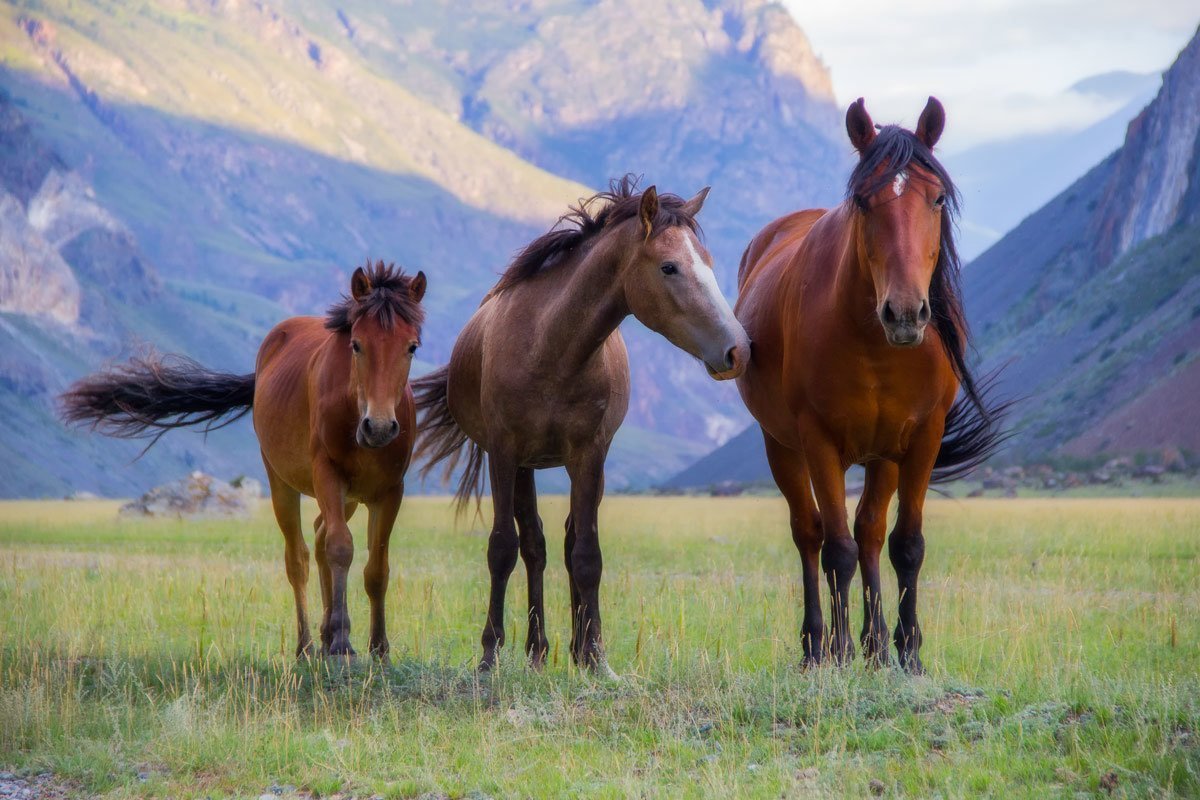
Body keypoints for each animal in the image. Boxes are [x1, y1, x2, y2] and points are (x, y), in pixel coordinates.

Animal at [60, 262, 429, 657]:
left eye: (411, 347)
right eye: (356, 345)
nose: (379, 427)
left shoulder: (389, 492)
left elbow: (377, 568)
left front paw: (379, 648)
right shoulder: (328, 476)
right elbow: (341, 548)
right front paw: (343, 643)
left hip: (348, 498)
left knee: (318, 539)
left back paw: (324, 635)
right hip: (283, 483)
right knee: (299, 557)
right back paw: (307, 645)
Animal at [417, 178, 744, 671]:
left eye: (708, 262)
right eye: (669, 267)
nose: (737, 349)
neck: (550, 346)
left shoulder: (589, 455)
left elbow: (587, 554)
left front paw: (595, 657)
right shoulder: (504, 453)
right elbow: (502, 548)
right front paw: (490, 655)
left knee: (569, 542)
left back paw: (569, 647)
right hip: (524, 467)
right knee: (533, 546)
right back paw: (535, 650)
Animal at [734, 101, 1008, 676]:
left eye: (937, 197)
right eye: (862, 201)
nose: (904, 312)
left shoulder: (920, 439)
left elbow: (904, 544)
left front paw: (907, 651)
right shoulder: (819, 441)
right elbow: (835, 548)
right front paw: (839, 652)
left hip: (882, 456)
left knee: (870, 532)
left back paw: (877, 644)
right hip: (783, 447)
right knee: (810, 534)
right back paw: (817, 644)